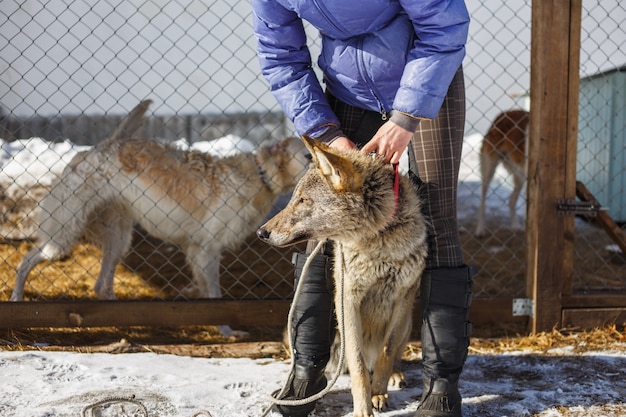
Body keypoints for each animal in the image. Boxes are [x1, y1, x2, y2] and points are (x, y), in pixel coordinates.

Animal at [11, 101, 308, 338]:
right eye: (307, 154)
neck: (259, 176)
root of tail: (101, 147)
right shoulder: (206, 250)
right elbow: (214, 296)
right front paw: (226, 330)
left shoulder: (200, 252)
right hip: (63, 234)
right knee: (26, 260)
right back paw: (16, 300)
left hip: (118, 239)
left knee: (101, 287)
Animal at [472, 108, 528, 237]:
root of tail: (504, 113)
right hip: (489, 169)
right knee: (482, 201)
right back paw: (480, 230)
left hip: (520, 175)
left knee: (511, 201)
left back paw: (515, 226)